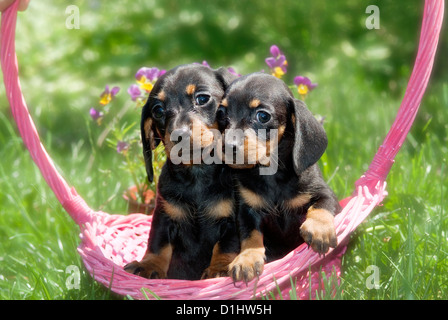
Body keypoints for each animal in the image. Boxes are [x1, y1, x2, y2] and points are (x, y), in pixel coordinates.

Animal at [122, 63, 242, 278]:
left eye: (202, 98)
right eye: (158, 110)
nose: (180, 135)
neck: (196, 174)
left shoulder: (232, 221)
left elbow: (225, 246)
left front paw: (219, 269)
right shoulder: (164, 215)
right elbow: (158, 244)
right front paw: (149, 265)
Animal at [219, 72, 342, 282]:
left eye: (263, 116)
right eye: (221, 113)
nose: (227, 147)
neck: (271, 174)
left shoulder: (324, 192)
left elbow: (322, 206)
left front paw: (319, 229)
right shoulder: (247, 210)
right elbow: (250, 236)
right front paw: (247, 259)